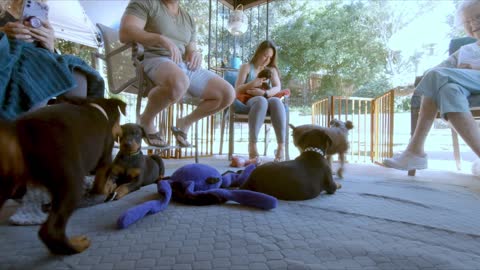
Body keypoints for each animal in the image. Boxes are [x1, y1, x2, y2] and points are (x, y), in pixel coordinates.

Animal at [0, 97, 125, 255]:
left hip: (6, 182)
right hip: (70, 180)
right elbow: (100, 182)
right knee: (51, 231)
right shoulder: (105, 158)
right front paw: (106, 188)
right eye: (119, 121)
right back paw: (77, 245)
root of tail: (18, 130)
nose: (121, 131)